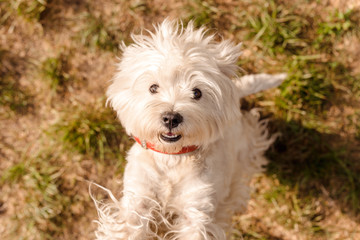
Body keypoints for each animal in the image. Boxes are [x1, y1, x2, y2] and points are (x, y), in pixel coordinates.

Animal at [93, 19, 286, 240]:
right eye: (153, 87)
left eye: (197, 92)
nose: (171, 118)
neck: (172, 160)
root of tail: (236, 94)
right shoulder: (138, 199)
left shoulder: (197, 211)